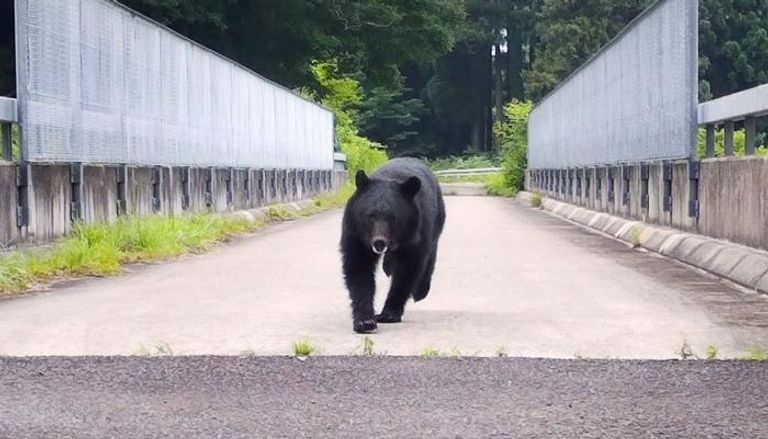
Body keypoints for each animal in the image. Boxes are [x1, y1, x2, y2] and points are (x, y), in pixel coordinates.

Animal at [340, 158, 444, 334]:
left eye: (392, 217)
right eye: (371, 215)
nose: (379, 242)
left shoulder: (416, 232)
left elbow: (407, 270)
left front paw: (389, 313)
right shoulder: (355, 232)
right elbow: (358, 268)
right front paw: (365, 321)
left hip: (437, 220)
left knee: (430, 253)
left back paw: (420, 291)